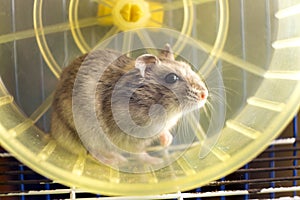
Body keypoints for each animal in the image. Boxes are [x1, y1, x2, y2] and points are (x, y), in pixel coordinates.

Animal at [50, 44, 207, 166]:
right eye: (172, 78)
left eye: (189, 68)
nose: (204, 95)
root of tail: (53, 134)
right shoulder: (129, 137)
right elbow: (138, 153)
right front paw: (156, 161)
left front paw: (167, 141)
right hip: (84, 131)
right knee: (93, 151)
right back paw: (115, 161)